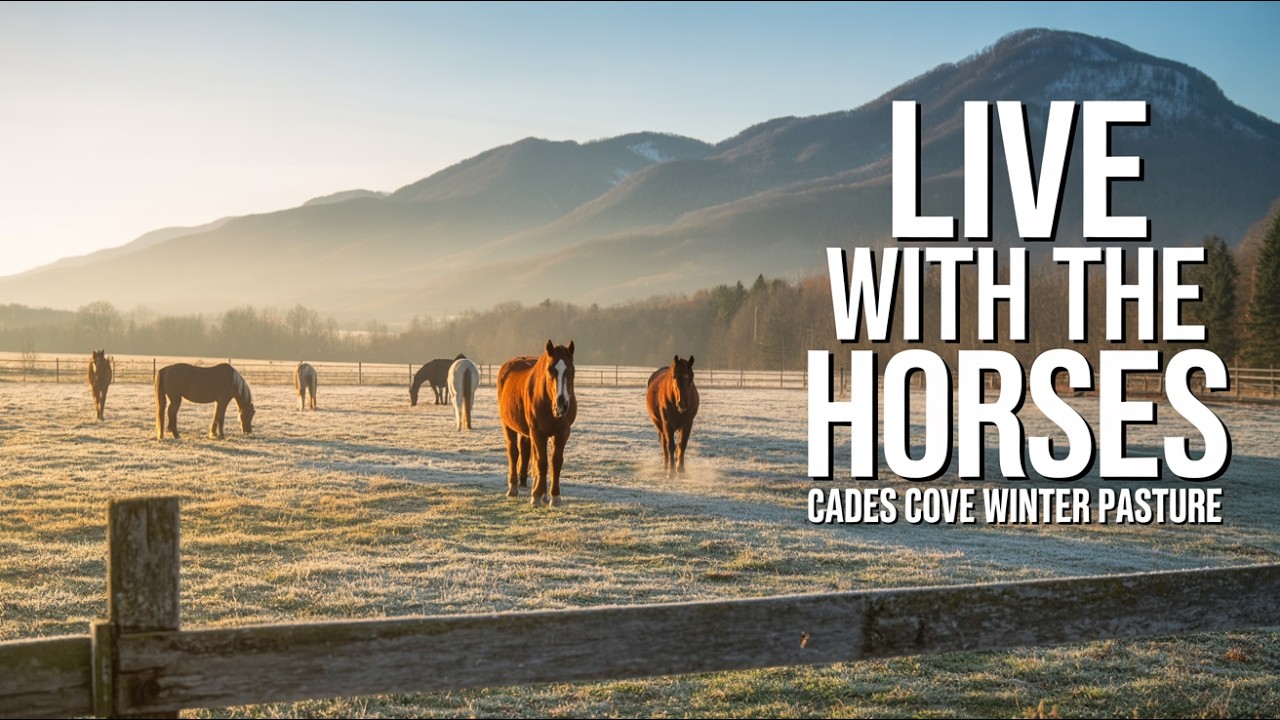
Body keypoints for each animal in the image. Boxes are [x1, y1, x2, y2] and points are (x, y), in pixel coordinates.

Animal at [497, 340, 577, 506]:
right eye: (550, 369)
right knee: (513, 453)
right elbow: (541, 462)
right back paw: (513, 489)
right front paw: (536, 497)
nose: (562, 404)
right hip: (508, 426)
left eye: (572, 370)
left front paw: (554, 497)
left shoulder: (562, 432)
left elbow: (555, 462)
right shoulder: (538, 432)